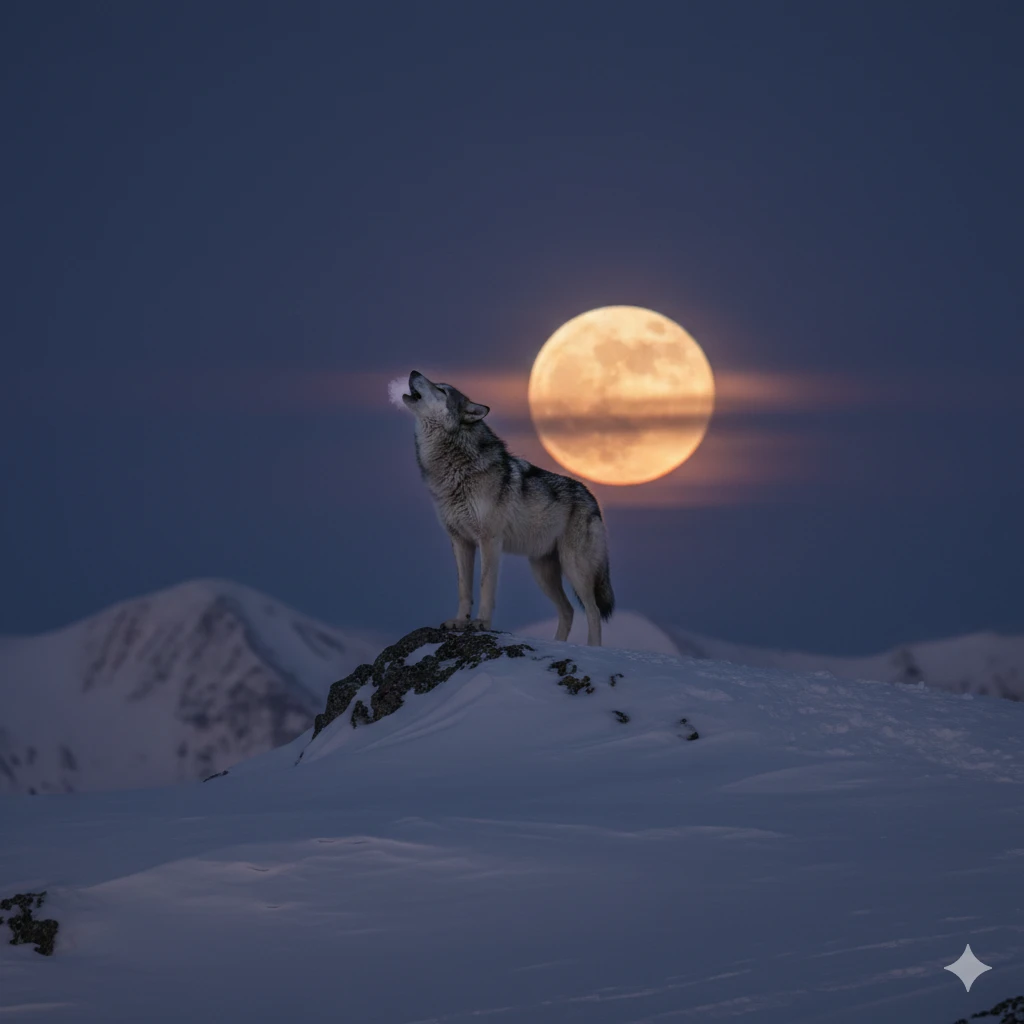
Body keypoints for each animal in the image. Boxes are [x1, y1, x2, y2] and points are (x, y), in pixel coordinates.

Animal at [401, 370, 614, 646]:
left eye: (442, 390)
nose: (414, 372)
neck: (454, 470)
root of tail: (592, 498)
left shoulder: (489, 540)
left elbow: (485, 585)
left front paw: (481, 623)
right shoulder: (460, 541)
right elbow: (463, 588)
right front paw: (459, 622)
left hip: (574, 567)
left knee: (593, 610)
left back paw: (593, 648)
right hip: (542, 572)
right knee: (567, 610)